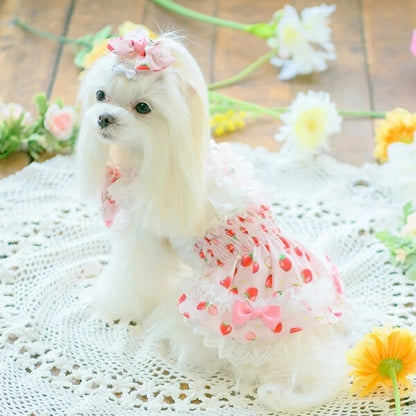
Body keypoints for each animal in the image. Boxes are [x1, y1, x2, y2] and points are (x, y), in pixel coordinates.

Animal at [75, 29, 347, 412]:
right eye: (101, 95)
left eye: (143, 108)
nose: (104, 118)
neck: (148, 155)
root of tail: (305, 357)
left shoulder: (144, 241)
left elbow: (130, 280)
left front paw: (113, 304)